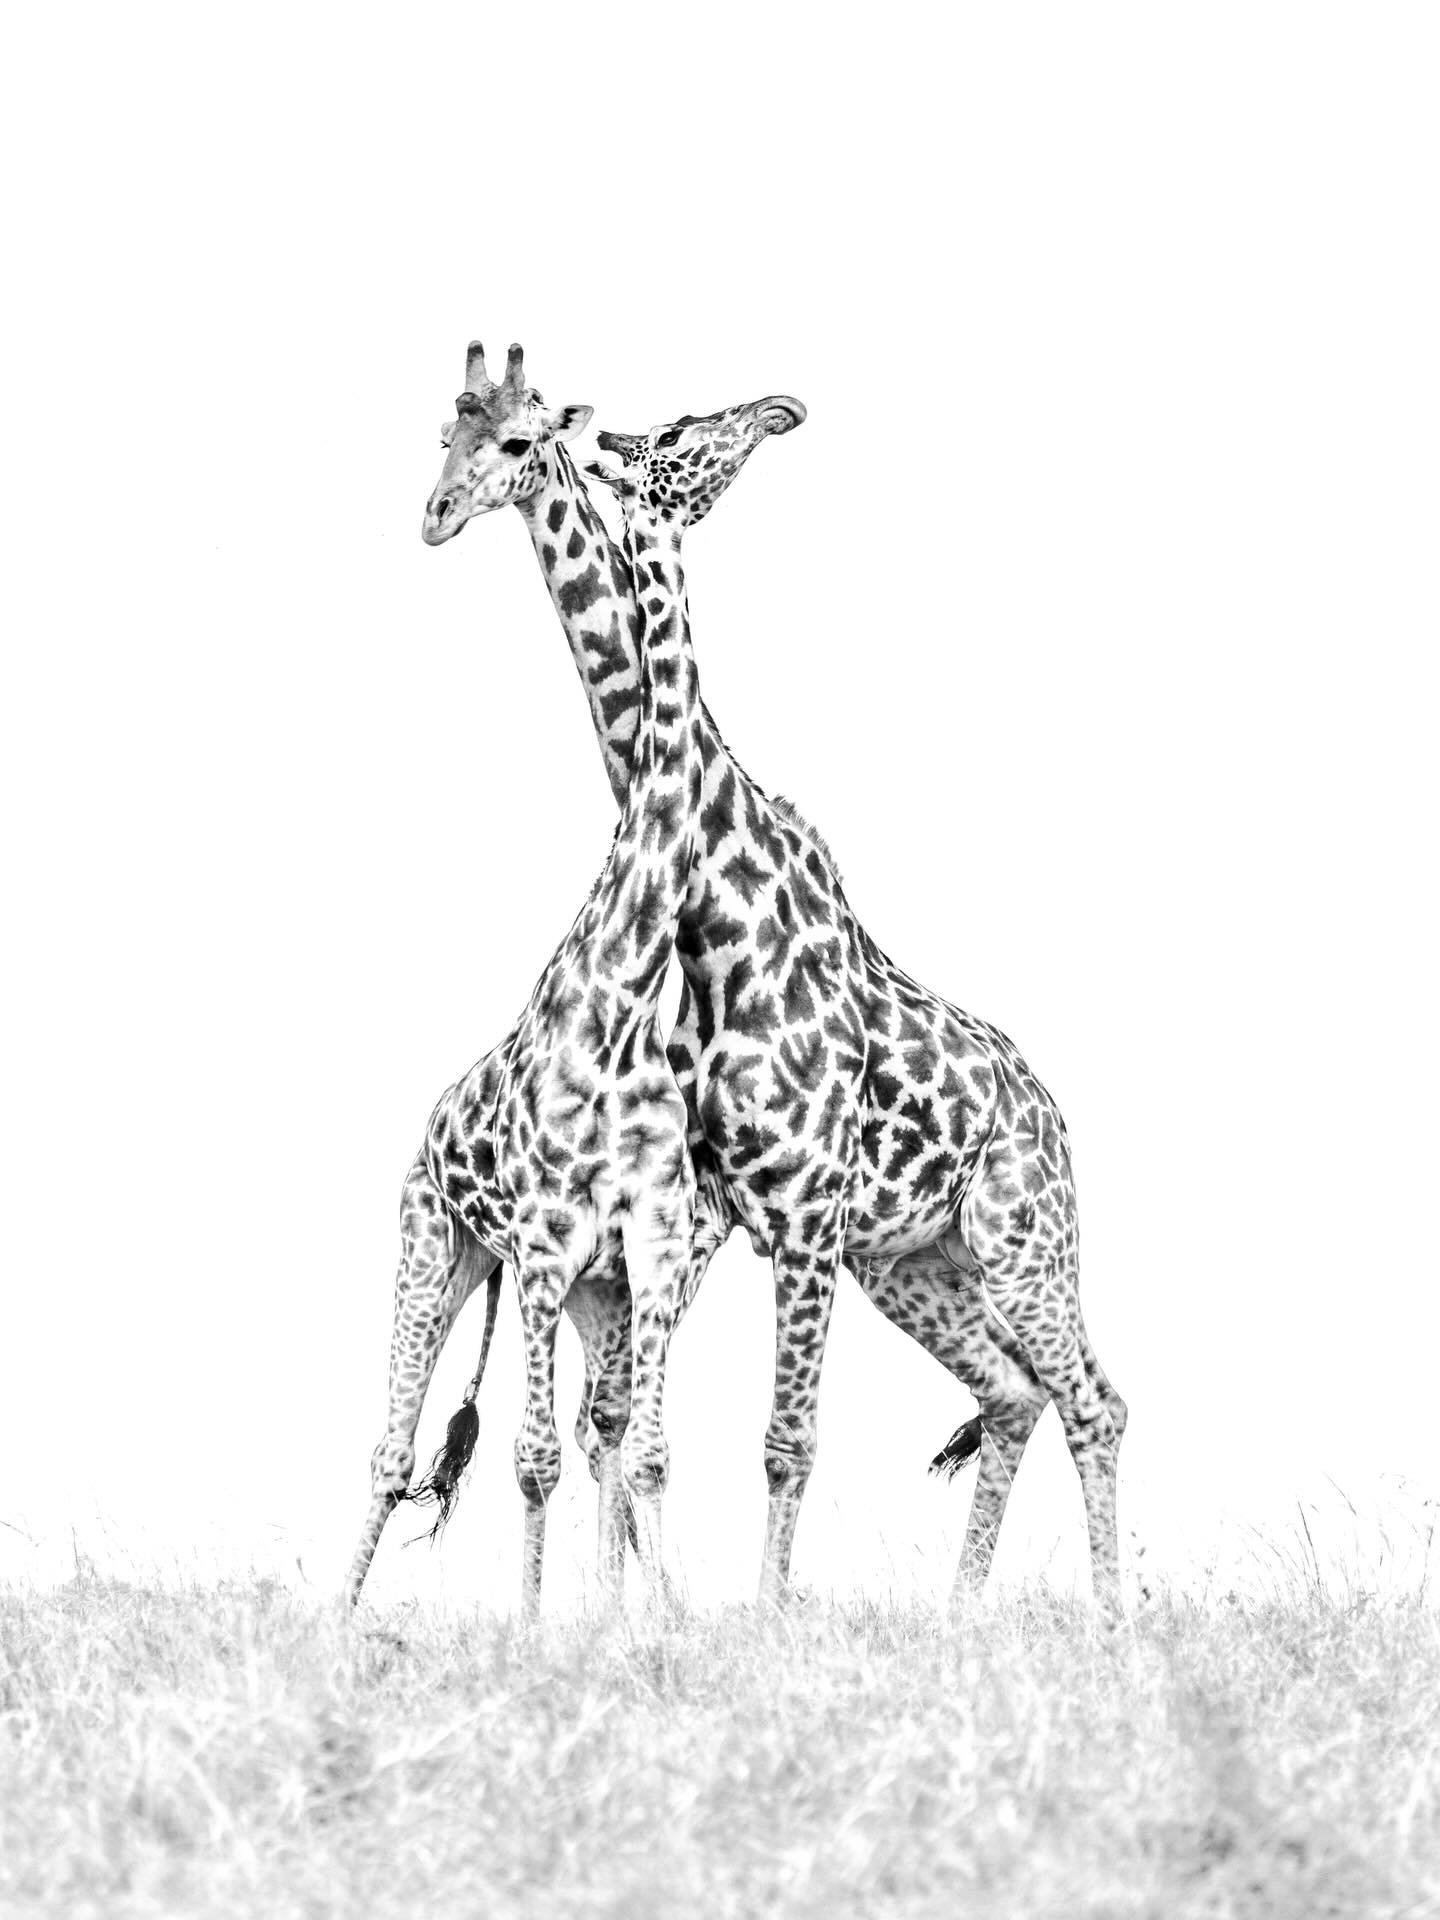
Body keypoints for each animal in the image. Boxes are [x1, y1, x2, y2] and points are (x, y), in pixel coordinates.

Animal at [421, 346, 1127, 1608]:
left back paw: (1110, 1613)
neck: (714, 891)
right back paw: (961, 1613)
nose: (781, 412)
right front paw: (642, 1614)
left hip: (1022, 1237)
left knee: (1094, 1398)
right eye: (446, 437)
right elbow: (633, 1427)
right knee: (1015, 1392)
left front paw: (746, 1615)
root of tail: (1050, 1115)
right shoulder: (730, 1222)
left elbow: (774, 1440)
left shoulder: (772, 1218)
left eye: (514, 441)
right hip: (911, 1261)